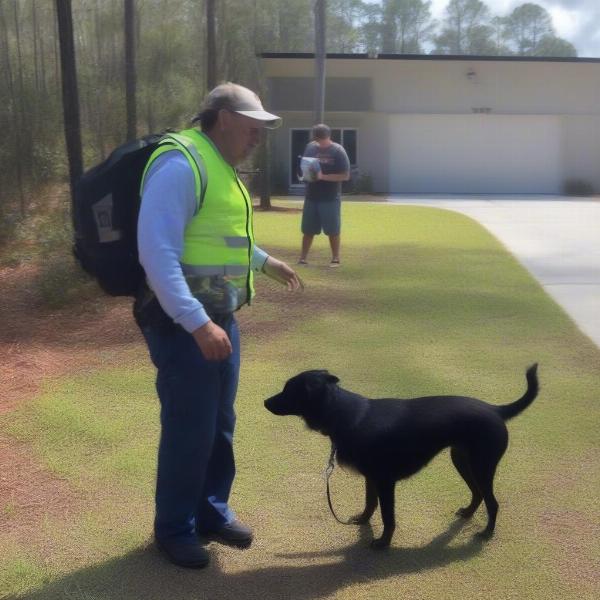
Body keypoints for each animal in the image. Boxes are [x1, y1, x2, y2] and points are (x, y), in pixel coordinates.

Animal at [264, 366, 536, 548]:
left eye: (288, 391)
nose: (265, 401)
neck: (348, 414)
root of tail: (495, 409)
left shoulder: (385, 482)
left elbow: (387, 515)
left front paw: (383, 543)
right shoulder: (371, 478)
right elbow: (370, 503)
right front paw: (363, 520)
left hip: (481, 465)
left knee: (492, 501)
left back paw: (486, 533)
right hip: (462, 460)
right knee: (478, 493)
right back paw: (468, 514)